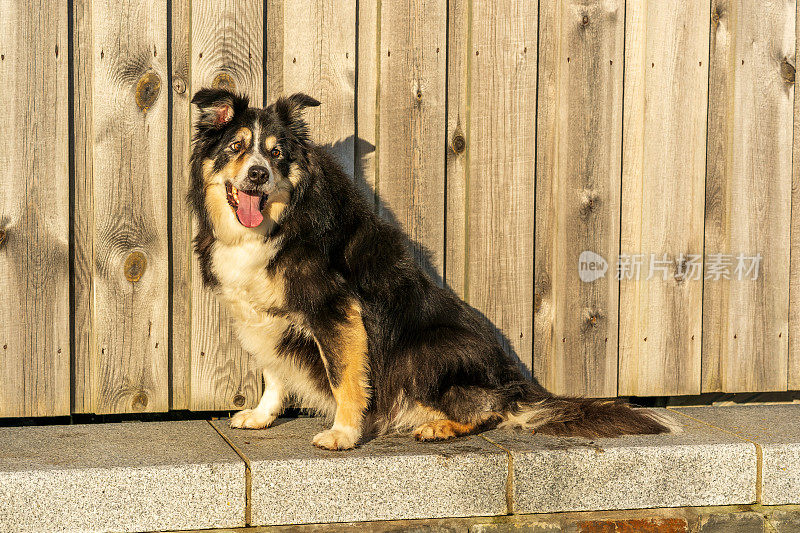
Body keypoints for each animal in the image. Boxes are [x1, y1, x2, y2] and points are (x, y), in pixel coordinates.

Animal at [189, 88, 680, 448]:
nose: (257, 174)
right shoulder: (259, 312)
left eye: (277, 156)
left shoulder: (336, 308)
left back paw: (440, 425)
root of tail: (519, 384)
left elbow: (346, 377)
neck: (275, 225)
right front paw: (262, 414)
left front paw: (344, 434)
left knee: (494, 410)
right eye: (236, 147)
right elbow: (272, 367)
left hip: (427, 350)